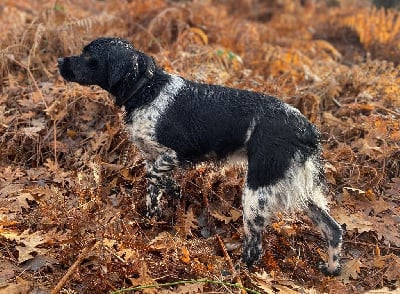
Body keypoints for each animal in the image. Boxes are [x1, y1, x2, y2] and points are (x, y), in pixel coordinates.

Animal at [57, 37, 342, 276]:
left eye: (88, 55)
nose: (59, 61)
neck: (147, 90)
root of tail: (306, 129)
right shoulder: (153, 156)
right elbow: (158, 183)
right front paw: (168, 199)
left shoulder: (175, 153)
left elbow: (153, 183)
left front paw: (153, 216)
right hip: (303, 190)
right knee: (334, 230)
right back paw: (332, 268)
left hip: (257, 190)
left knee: (255, 247)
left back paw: (234, 272)